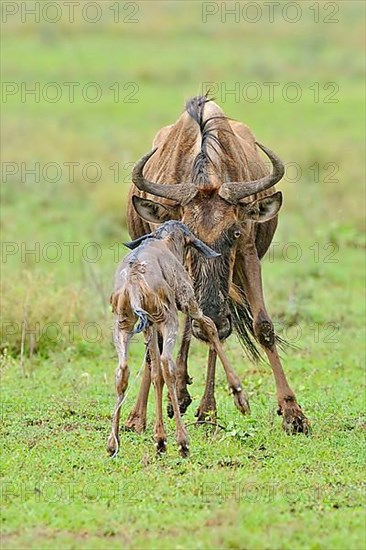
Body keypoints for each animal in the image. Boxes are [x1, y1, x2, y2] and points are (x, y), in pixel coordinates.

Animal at [106, 222, 249, 460]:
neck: (164, 242)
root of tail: (134, 281)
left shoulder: (150, 328)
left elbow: (155, 374)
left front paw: (159, 439)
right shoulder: (188, 303)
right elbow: (210, 327)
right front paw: (240, 397)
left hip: (123, 326)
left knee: (124, 371)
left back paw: (114, 444)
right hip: (170, 318)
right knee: (167, 364)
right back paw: (183, 443)